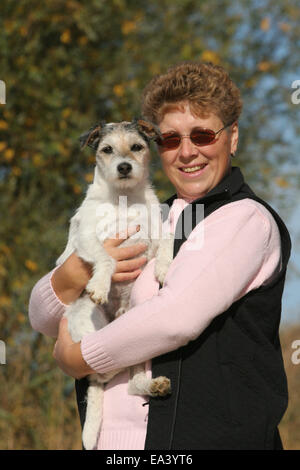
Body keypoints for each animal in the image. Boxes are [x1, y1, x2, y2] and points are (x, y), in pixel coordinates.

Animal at [56, 117, 173, 448]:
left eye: (136, 147)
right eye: (107, 149)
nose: (123, 166)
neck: (124, 200)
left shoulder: (154, 235)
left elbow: (168, 239)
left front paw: (164, 266)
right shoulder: (87, 240)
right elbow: (106, 258)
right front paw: (99, 285)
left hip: (138, 336)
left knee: (131, 381)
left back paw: (152, 386)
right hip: (92, 327)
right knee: (103, 371)